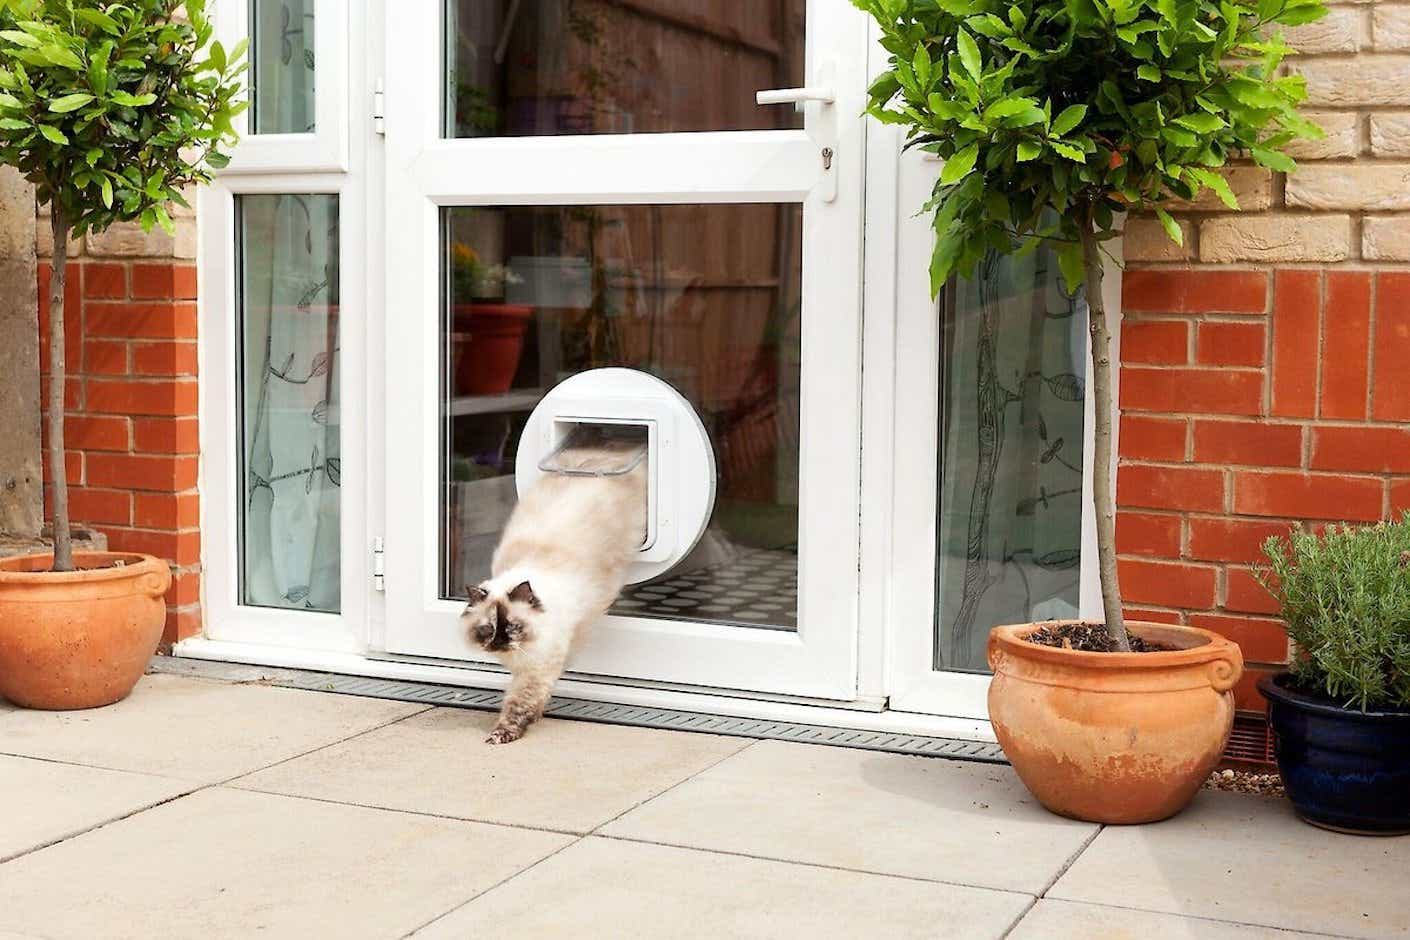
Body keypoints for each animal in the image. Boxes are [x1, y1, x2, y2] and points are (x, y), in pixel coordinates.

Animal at [459, 436, 645, 744]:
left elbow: (518, 704)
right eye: (488, 629)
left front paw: (503, 734)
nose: (499, 643)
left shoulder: (537, 669)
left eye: (513, 627)